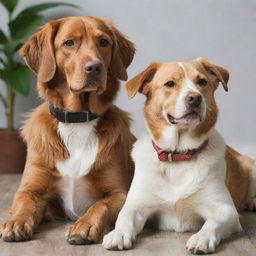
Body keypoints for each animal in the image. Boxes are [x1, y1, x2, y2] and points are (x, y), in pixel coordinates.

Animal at [0, 16, 136, 244]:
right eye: (69, 43)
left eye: (104, 42)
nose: (95, 67)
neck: (77, 120)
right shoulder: (31, 189)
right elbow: (25, 203)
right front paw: (16, 221)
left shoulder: (119, 193)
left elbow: (100, 205)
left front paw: (84, 225)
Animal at [102, 58, 256, 254]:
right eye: (170, 84)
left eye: (202, 81)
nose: (195, 98)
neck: (178, 155)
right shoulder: (136, 205)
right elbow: (124, 217)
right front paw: (118, 233)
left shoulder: (225, 209)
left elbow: (211, 223)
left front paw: (201, 238)